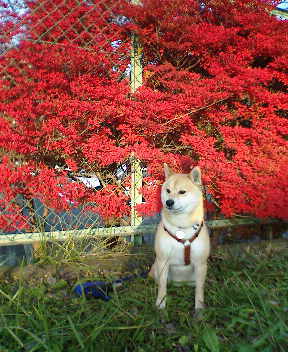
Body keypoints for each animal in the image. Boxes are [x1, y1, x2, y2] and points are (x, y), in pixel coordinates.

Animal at [148, 164, 209, 312]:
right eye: (168, 190)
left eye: (182, 192)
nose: (169, 202)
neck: (182, 226)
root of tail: (181, 284)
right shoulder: (163, 261)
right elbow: (162, 287)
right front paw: (160, 305)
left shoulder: (201, 264)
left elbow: (199, 289)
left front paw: (199, 308)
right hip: (156, 268)